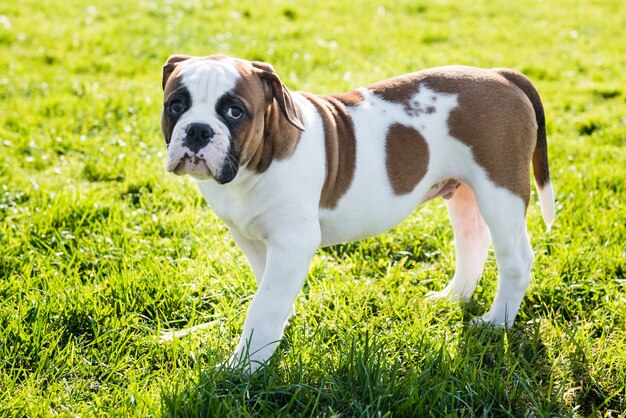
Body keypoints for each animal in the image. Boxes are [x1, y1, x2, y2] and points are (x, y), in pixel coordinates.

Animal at [160, 54, 552, 370]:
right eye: (175, 105)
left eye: (234, 112)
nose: (198, 130)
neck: (253, 164)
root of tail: (497, 74)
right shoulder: (250, 238)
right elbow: (267, 290)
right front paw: (278, 330)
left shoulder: (292, 244)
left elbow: (263, 306)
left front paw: (242, 368)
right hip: (467, 193)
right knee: (472, 242)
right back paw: (453, 298)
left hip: (500, 191)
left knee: (516, 260)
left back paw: (496, 322)